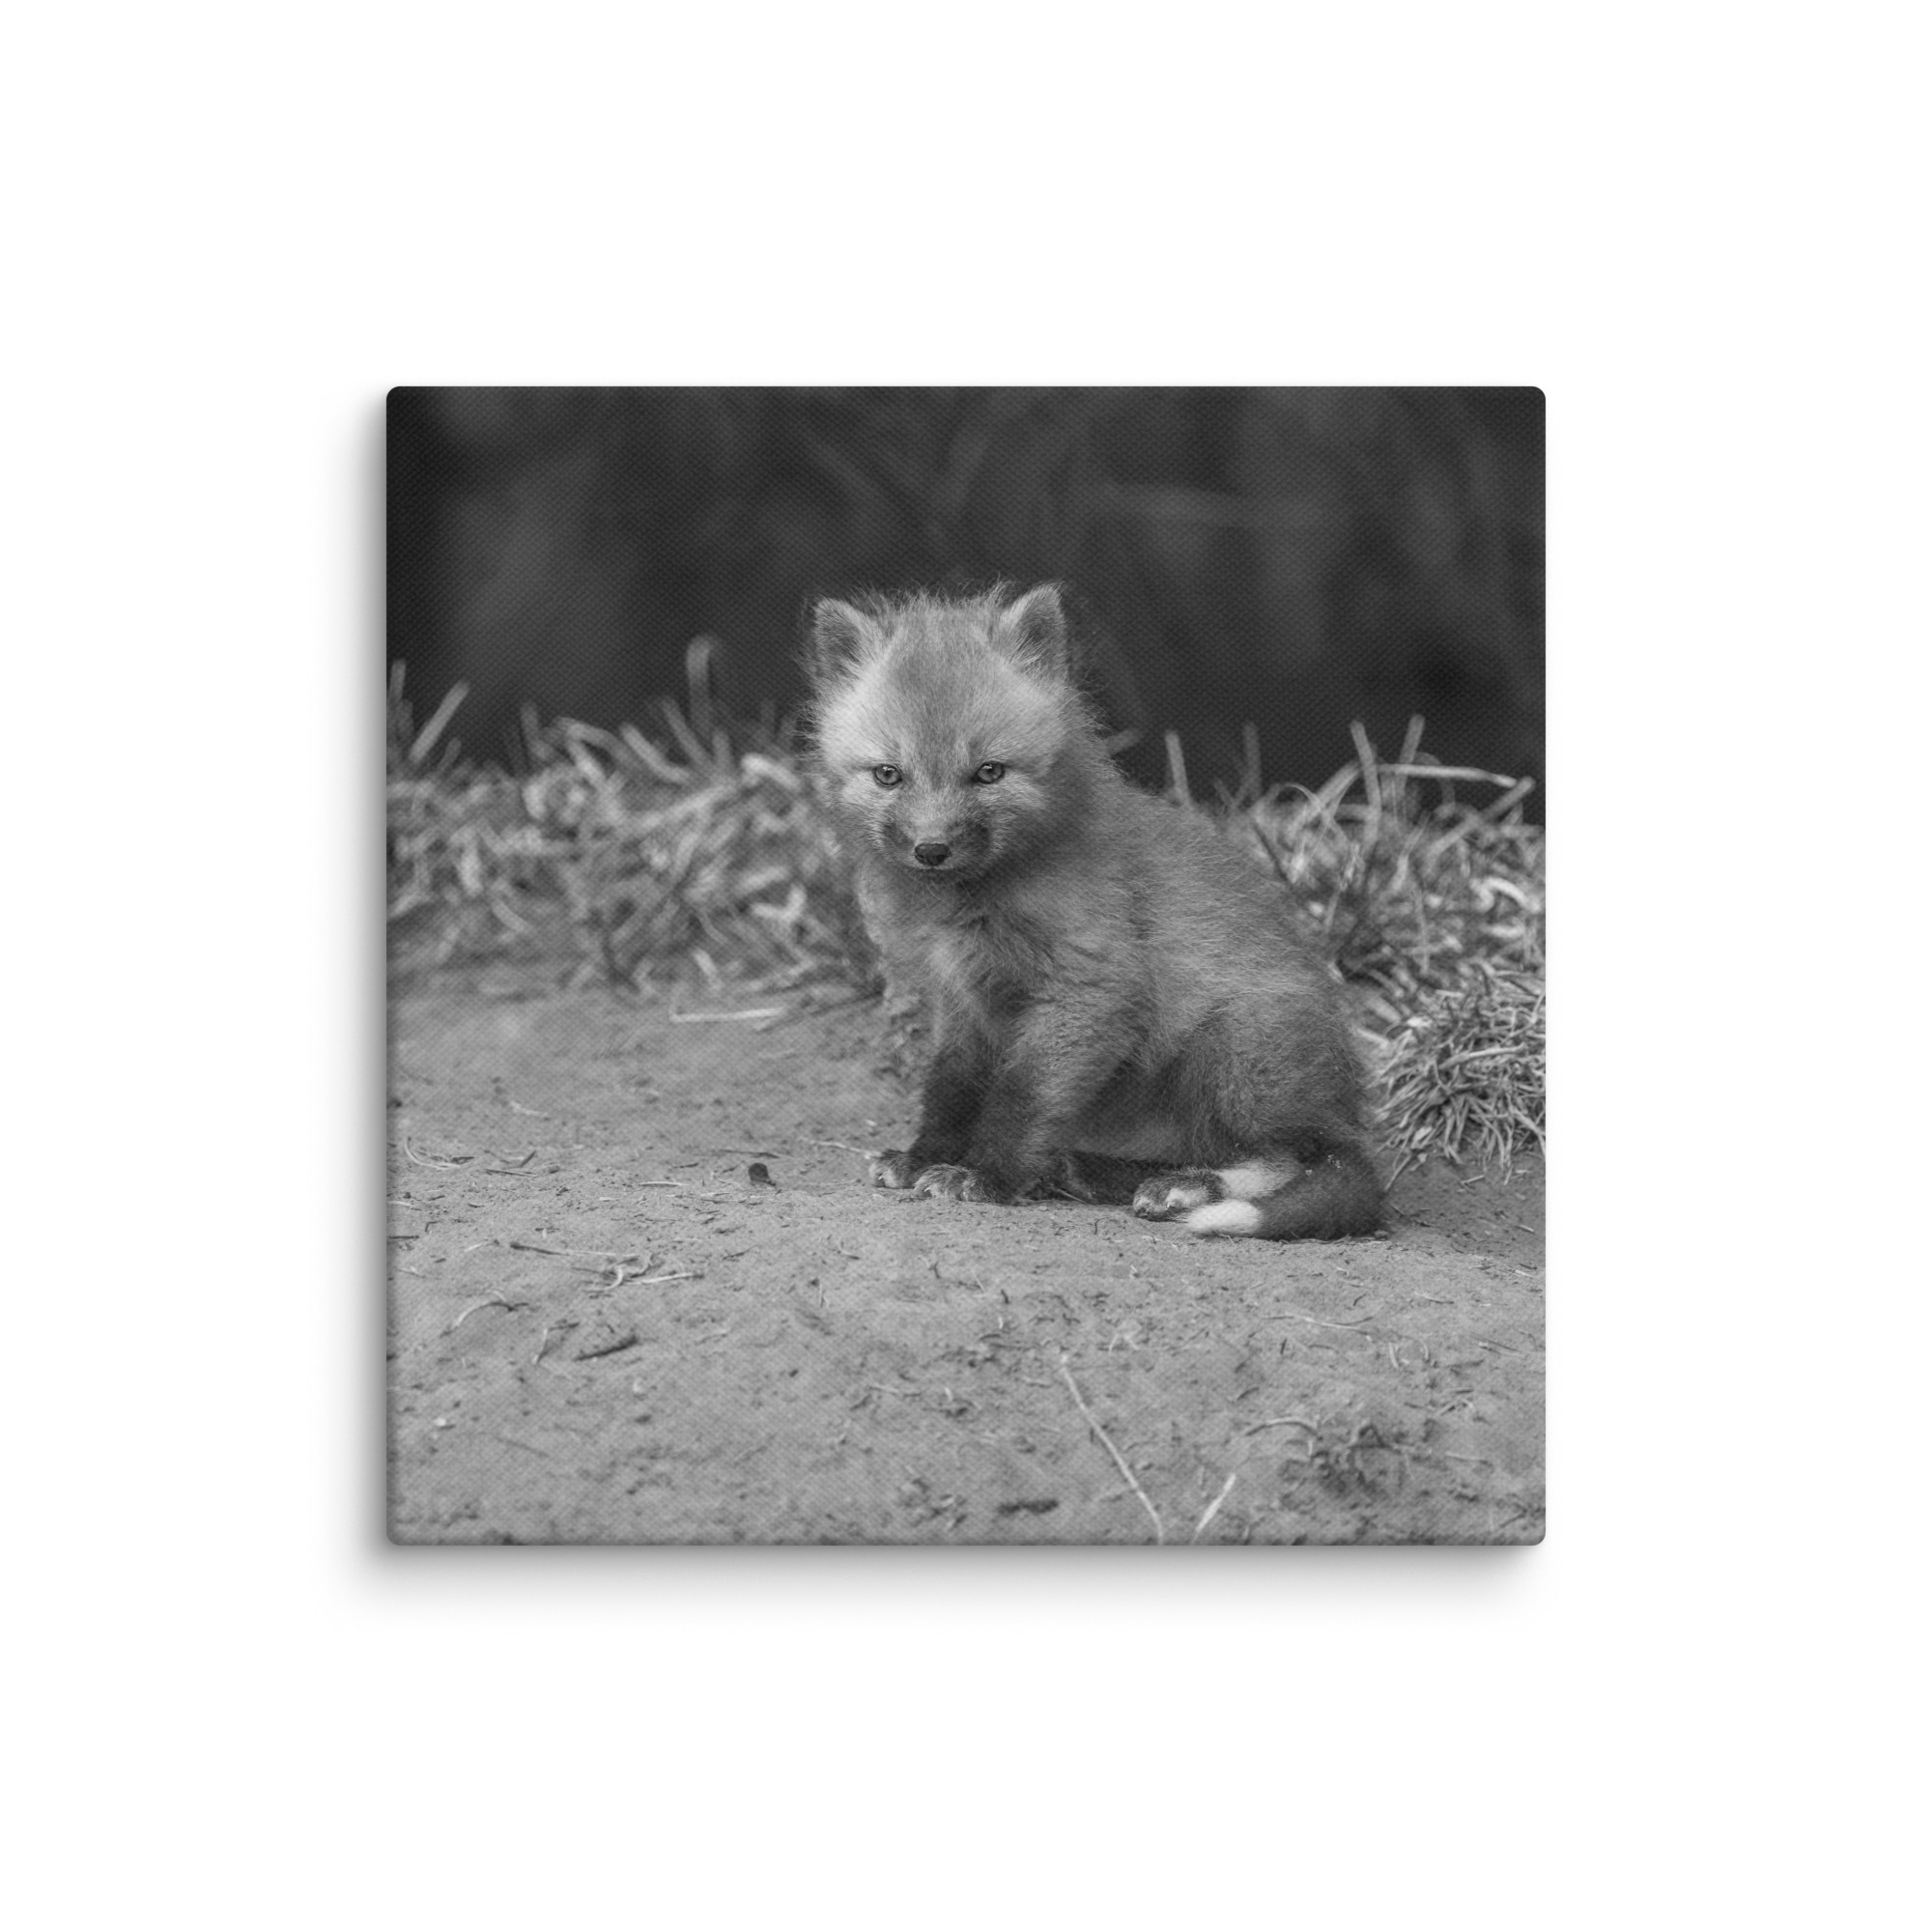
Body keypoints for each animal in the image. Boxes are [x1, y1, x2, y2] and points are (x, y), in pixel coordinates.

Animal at [805, 581, 1382, 1240]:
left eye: (988, 772)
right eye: (888, 775)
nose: (932, 849)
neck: (974, 905)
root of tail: (1343, 1105)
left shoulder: (1088, 989)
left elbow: (1022, 1096)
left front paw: (986, 1176)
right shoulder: (964, 1002)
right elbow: (951, 1088)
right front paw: (925, 1156)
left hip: (1233, 1049)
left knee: (1298, 1157)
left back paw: (1186, 1188)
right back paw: (1091, 1171)